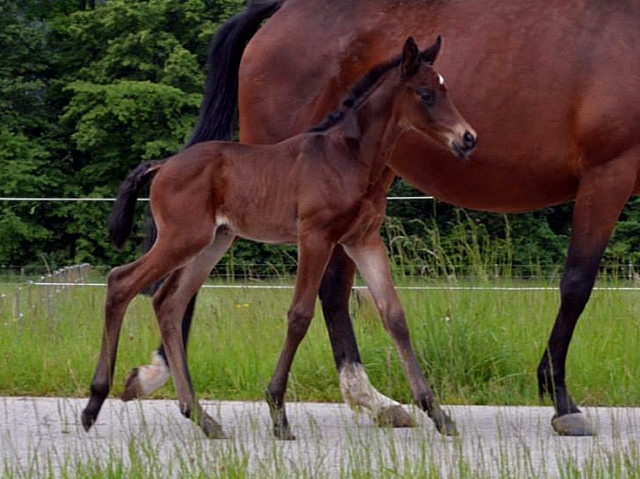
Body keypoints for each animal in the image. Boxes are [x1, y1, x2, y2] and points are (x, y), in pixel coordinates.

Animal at [81, 37, 476, 438]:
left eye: (445, 89)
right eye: (425, 94)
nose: (468, 138)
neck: (347, 156)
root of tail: (163, 165)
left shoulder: (363, 239)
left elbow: (394, 316)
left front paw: (437, 413)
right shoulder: (315, 236)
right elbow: (299, 315)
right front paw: (277, 412)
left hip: (212, 242)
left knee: (168, 303)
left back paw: (202, 417)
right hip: (183, 238)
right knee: (121, 282)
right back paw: (94, 404)